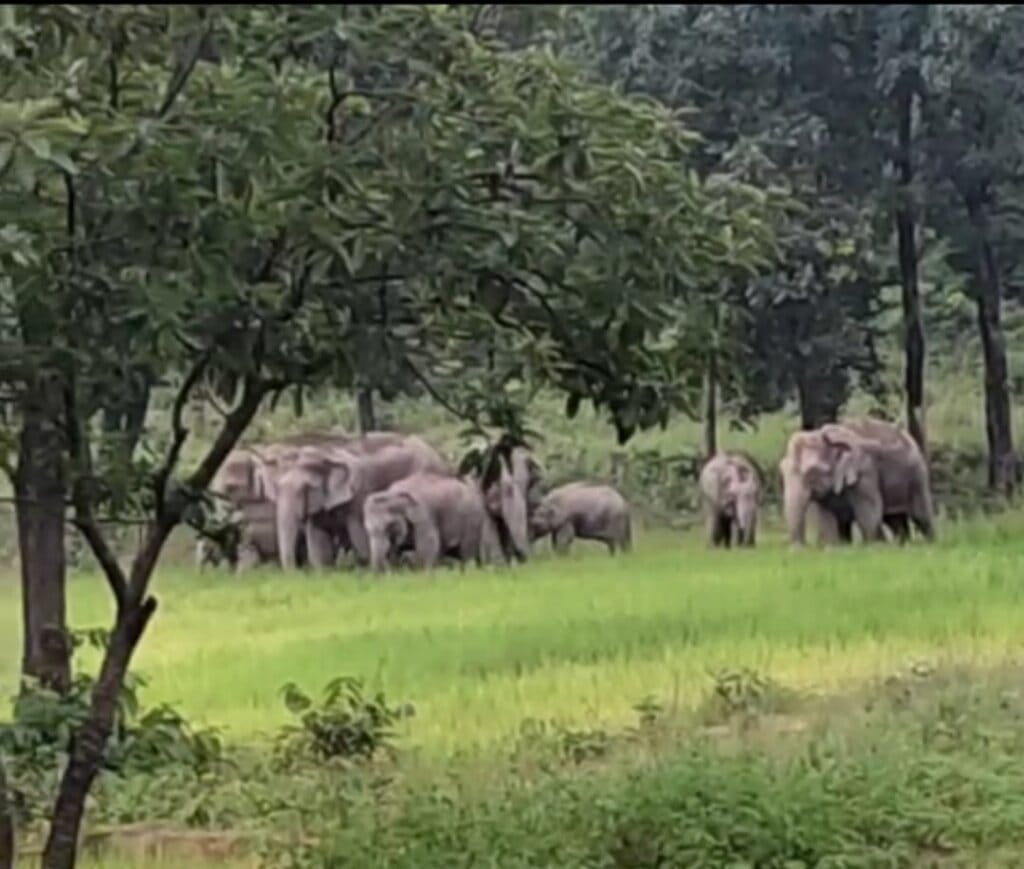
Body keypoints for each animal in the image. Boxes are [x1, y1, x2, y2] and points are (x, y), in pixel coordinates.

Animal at [260, 432, 452, 570]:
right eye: (276, 488)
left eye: (306, 488)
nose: (296, 573)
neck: (326, 454)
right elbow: (317, 542)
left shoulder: (359, 495)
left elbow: (360, 540)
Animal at [363, 472, 504, 572]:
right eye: (368, 529)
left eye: (389, 525)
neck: (393, 494)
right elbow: (395, 551)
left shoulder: (424, 515)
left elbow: (429, 544)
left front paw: (423, 575)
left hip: (472, 517)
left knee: (466, 551)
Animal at [779, 417, 935, 547]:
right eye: (782, 469)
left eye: (812, 472)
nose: (798, 550)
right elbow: (828, 518)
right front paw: (834, 547)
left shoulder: (865, 474)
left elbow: (869, 513)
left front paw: (873, 547)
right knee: (894, 520)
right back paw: (904, 546)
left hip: (917, 476)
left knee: (920, 516)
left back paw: (931, 544)